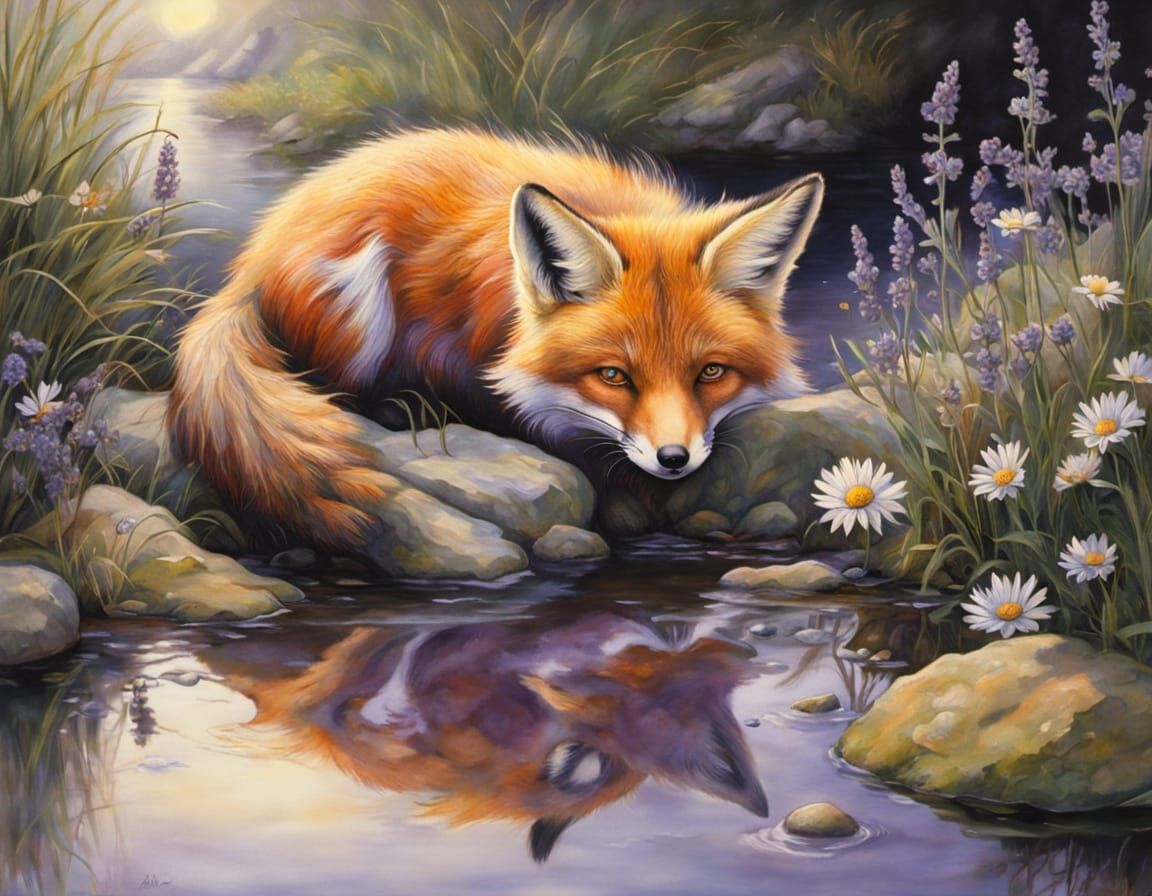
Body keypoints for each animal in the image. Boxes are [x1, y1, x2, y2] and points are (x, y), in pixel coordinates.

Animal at [168, 129, 823, 555]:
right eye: (613, 376)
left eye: (710, 373)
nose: (673, 459)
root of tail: (252, 262)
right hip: (359, 305)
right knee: (330, 385)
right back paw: (400, 406)